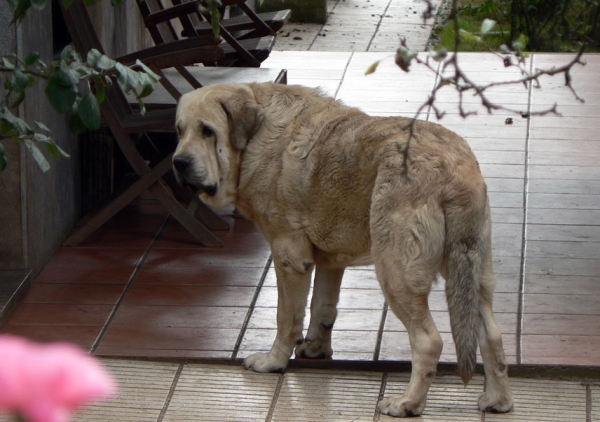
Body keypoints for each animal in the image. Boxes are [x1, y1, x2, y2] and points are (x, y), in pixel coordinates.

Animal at [173, 81, 516, 416]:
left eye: (207, 131)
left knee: (428, 341)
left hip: (396, 271)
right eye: (179, 131)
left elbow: (286, 316)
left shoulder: (288, 257)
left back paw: (408, 404)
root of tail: (453, 170)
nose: (178, 162)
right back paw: (497, 400)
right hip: (472, 273)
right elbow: (322, 307)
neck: (256, 135)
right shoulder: (329, 260)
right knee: (491, 335)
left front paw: (274, 362)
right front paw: (315, 349)